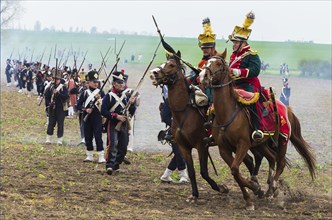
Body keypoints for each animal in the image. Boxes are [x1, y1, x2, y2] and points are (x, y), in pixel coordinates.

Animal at [200, 51, 316, 210]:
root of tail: (286, 108)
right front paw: (251, 196)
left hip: (282, 140)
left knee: (280, 163)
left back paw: (274, 188)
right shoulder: (224, 148)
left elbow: (235, 169)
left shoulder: (243, 144)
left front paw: (255, 188)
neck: (227, 113)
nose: (203, 76)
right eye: (207, 62)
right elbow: (235, 172)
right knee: (272, 158)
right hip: (261, 144)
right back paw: (268, 190)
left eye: (218, 63)